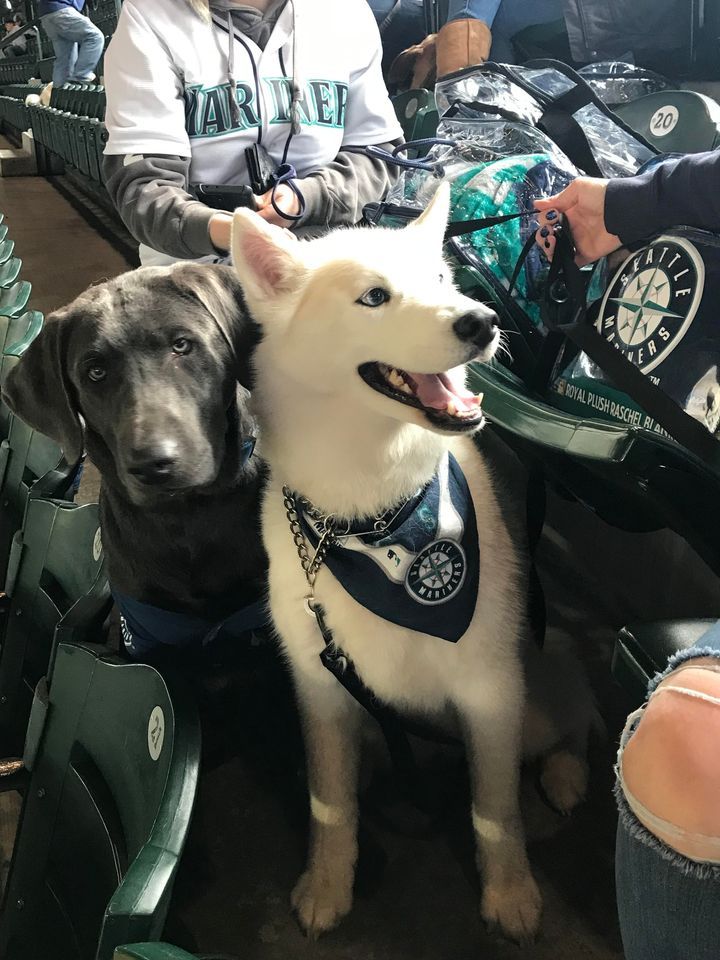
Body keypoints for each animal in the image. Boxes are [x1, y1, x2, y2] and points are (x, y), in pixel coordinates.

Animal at [229, 189, 592, 944]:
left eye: (441, 280)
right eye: (374, 296)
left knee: (575, 715)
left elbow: (496, 811)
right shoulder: (321, 683)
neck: (371, 520)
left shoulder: (491, 692)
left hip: (537, 694)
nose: (482, 321)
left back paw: (567, 771)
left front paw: (510, 894)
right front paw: (327, 884)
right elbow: (330, 802)